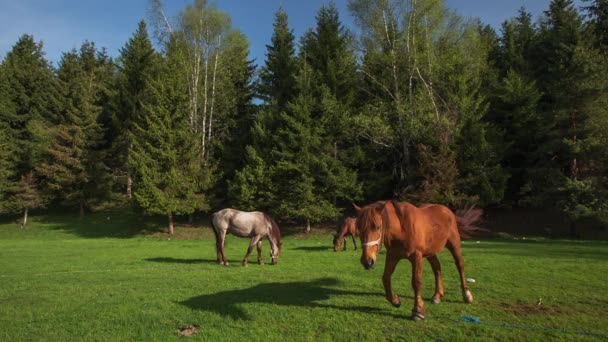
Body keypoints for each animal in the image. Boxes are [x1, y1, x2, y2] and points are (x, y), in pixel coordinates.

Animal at [354, 200, 482, 320]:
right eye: (359, 228)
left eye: (377, 227)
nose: (367, 261)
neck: (402, 228)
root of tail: (447, 211)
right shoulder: (392, 256)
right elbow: (385, 278)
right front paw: (395, 300)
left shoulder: (417, 257)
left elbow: (416, 282)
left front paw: (418, 311)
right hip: (430, 252)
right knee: (437, 268)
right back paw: (437, 295)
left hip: (454, 245)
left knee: (460, 266)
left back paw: (467, 295)